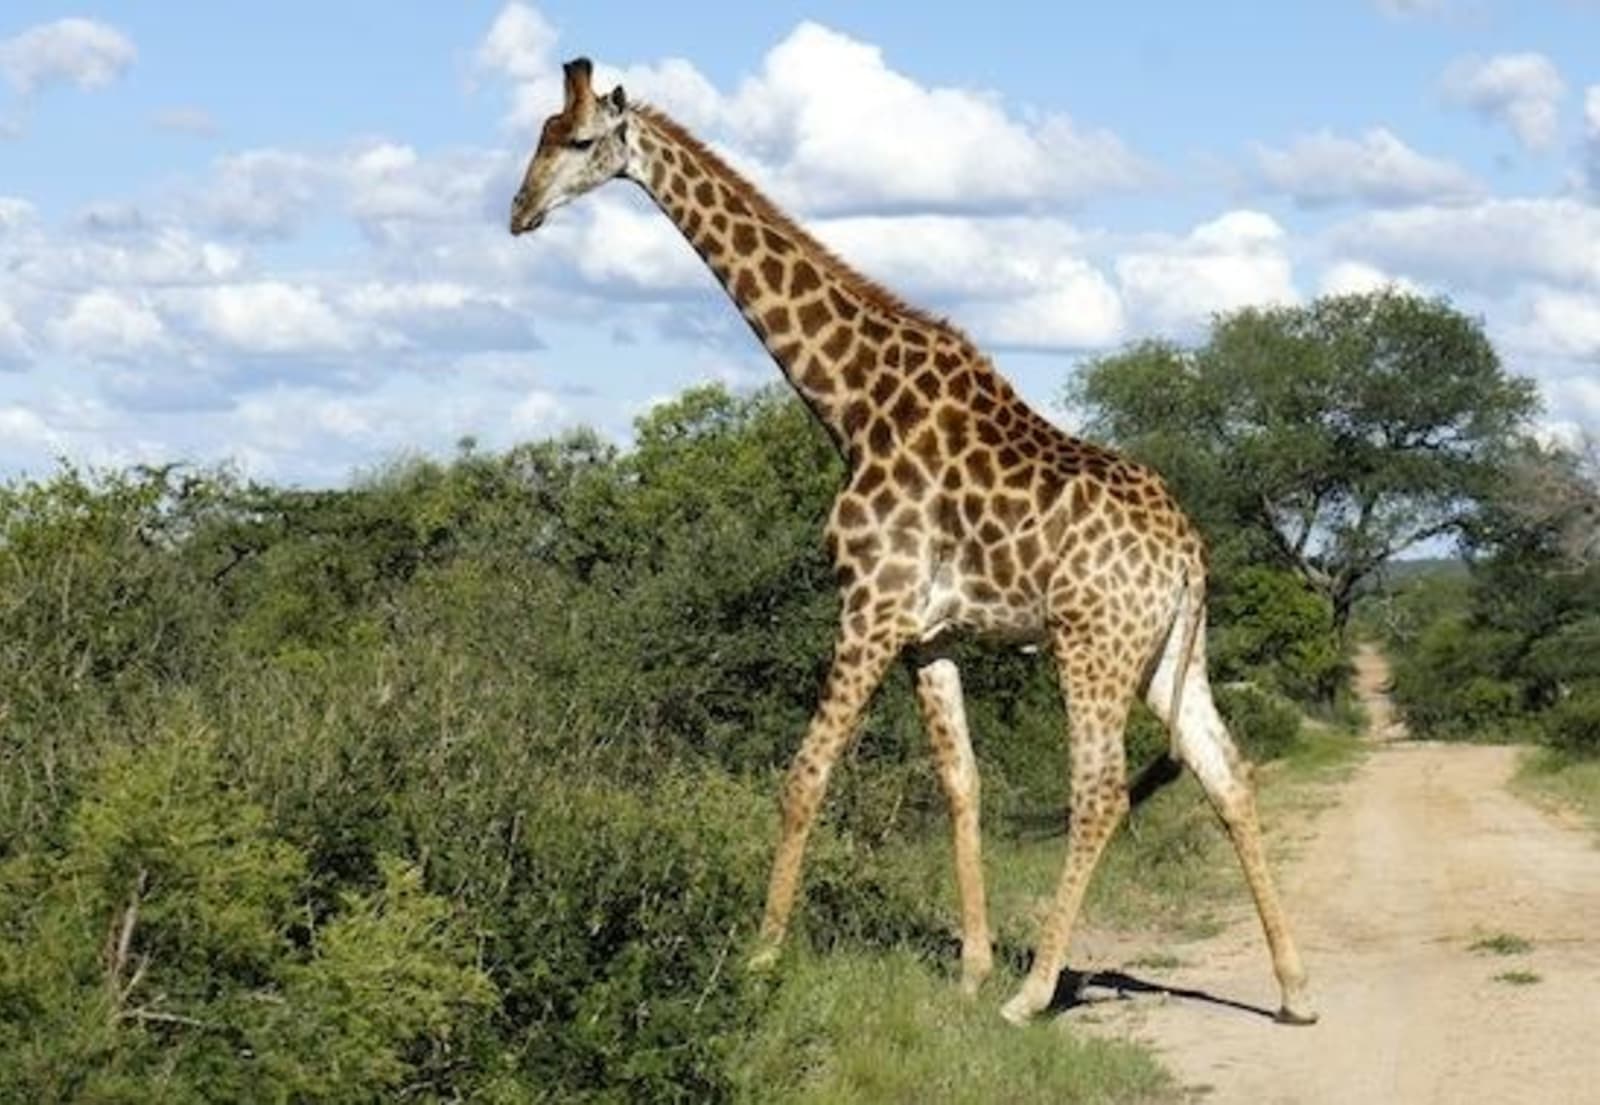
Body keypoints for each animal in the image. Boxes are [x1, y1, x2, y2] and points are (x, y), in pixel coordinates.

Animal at [510, 58, 1318, 1027]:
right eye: (539, 136)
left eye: (580, 141)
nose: (518, 211)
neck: (851, 401)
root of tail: (1190, 553)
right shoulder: (927, 635)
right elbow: (961, 782)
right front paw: (969, 966)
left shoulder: (870, 606)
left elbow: (804, 774)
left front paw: (760, 958)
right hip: (1169, 653)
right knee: (1225, 772)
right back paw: (1293, 989)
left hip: (1092, 644)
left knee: (1098, 792)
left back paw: (1035, 992)